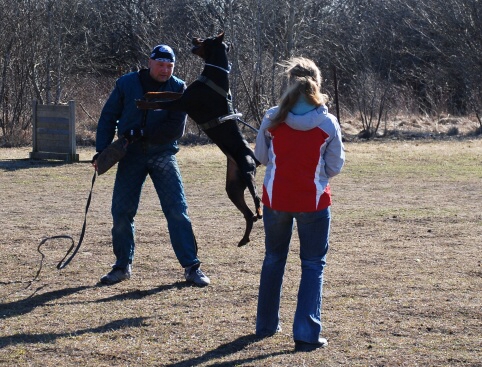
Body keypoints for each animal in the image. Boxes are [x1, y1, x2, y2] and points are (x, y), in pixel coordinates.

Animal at [136, 31, 262, 247]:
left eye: (206, 39)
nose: (194, 38)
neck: (214, 75)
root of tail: (252, 156)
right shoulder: (183, 95)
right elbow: (164, 92)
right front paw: (148, 93)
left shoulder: (182, 103)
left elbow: (160, 103)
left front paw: (142, 103)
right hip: (233, 186)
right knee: (247, 214)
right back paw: (244, 239)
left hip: (247, 173)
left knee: (257, 199)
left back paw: (259, 212)